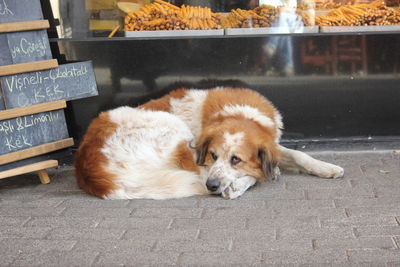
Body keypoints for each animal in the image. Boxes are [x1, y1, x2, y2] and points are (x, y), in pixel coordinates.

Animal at [75, 89, 344, 200]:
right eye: (213, 156)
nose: (212, 186)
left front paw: (327, 168)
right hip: (173, 129)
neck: (243, 114)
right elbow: (257, 173)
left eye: (236, 159)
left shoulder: (271, 143)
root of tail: (85, 166)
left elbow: (298, 155)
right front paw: (250, 179)